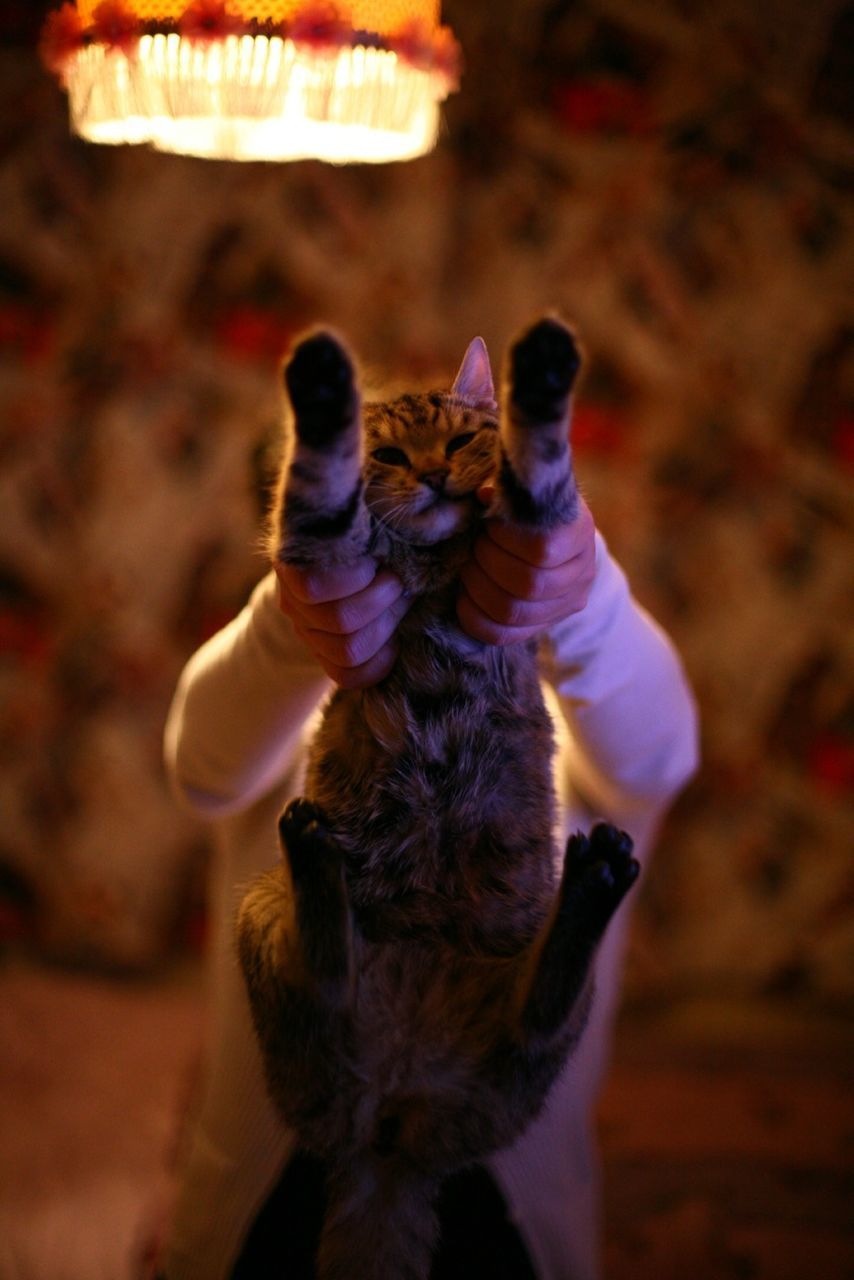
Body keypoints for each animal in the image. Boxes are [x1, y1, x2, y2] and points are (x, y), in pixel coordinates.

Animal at [236, 312, 637, 1280]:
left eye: (460, 439)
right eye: (387, 453)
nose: (428, 473)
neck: (429, 557)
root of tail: (391, 1142)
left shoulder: (530, 531)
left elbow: (543, 475)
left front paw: (543, 382)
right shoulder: (319, 544)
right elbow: (316, 489)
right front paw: (322, 392)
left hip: (527, 1041)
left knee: (537, 1011)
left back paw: (594, 885)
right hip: (264, 919)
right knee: (325, 974)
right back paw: (316, 862)